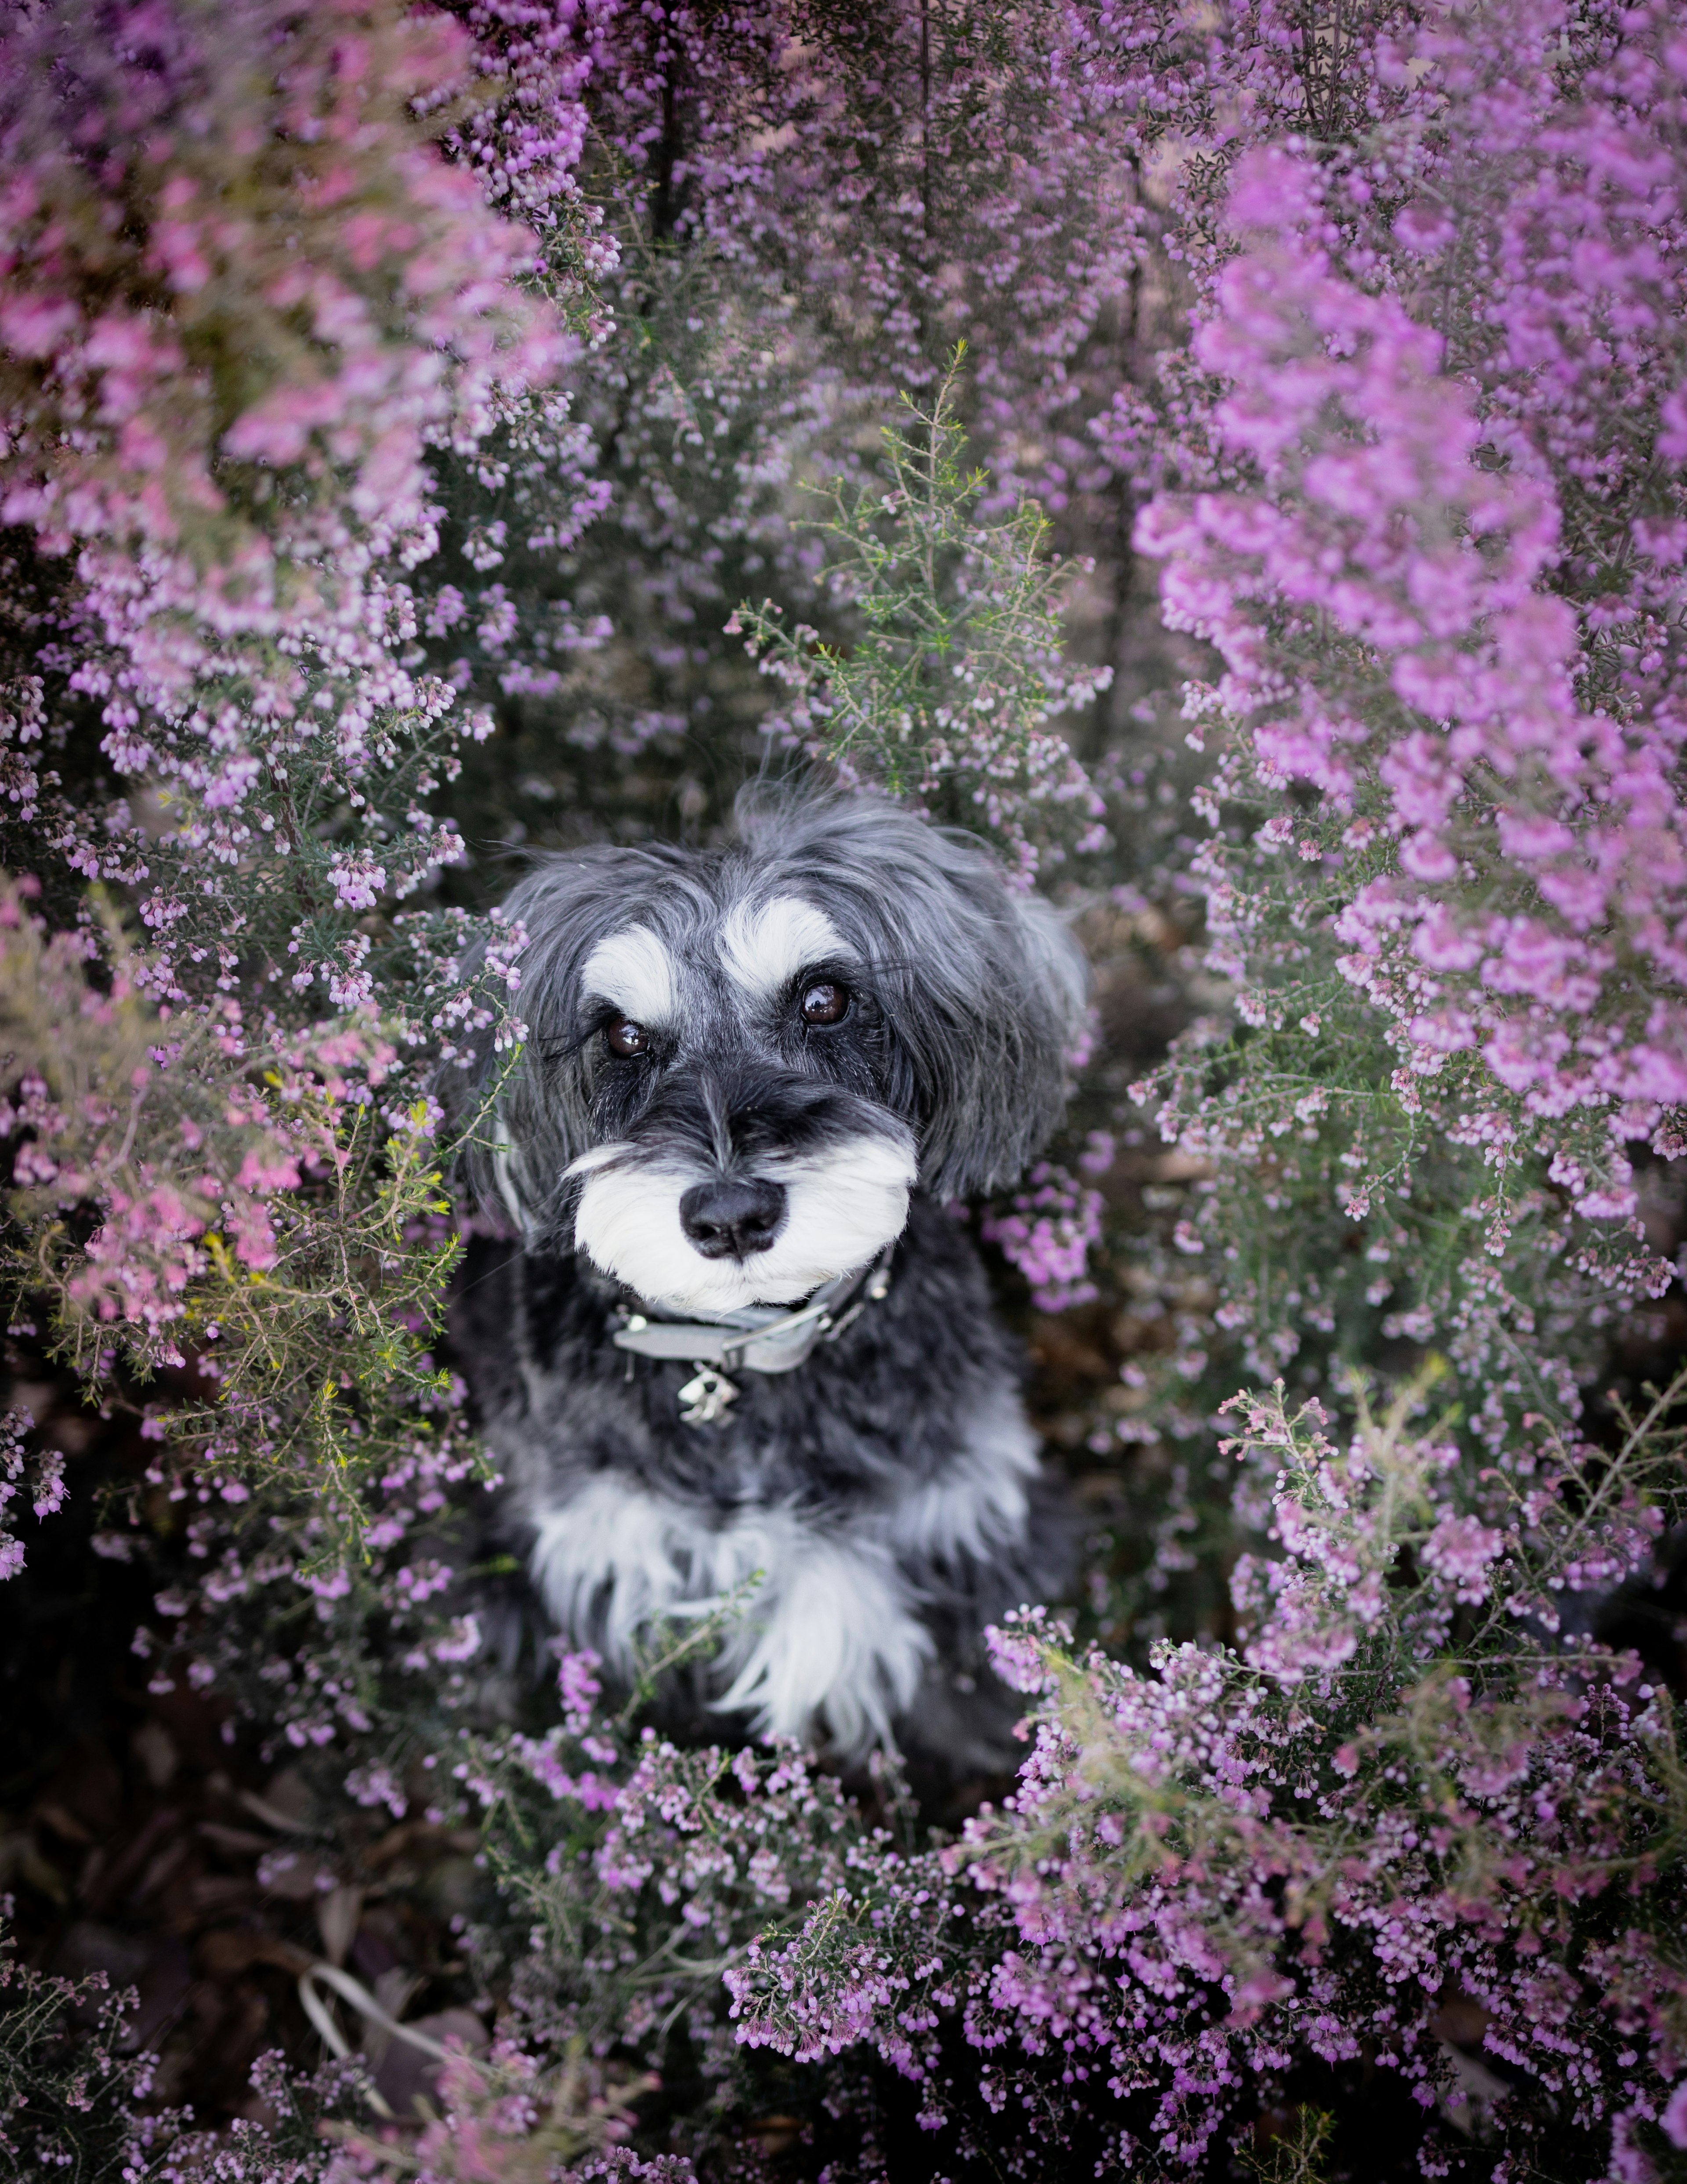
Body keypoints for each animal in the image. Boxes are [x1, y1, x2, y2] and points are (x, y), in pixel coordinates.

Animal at [447, 786, 1086, 1773]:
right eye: (622, 1035)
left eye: (825, 999)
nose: (730, 1216)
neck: (754, 1356)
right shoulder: (618, 1562)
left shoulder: (967, 1525)